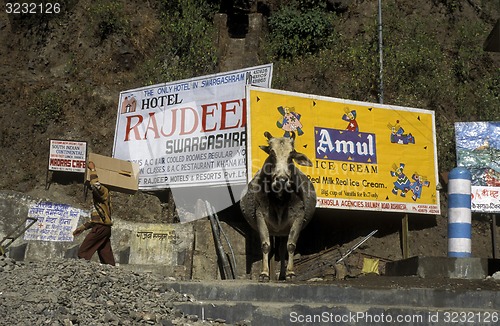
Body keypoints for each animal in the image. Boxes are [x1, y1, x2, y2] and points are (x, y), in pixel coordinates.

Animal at [239, 131, 316, 282]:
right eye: (272, 153)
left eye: (291, 155)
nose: (281, 179)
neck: (280, 199)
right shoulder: (260, 217)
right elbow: (265, 245)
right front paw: (264, 274)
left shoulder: (298, 218)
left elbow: (291, 246)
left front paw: (290, 273)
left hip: (283, 231)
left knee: (282, 249)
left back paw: (282, 275)